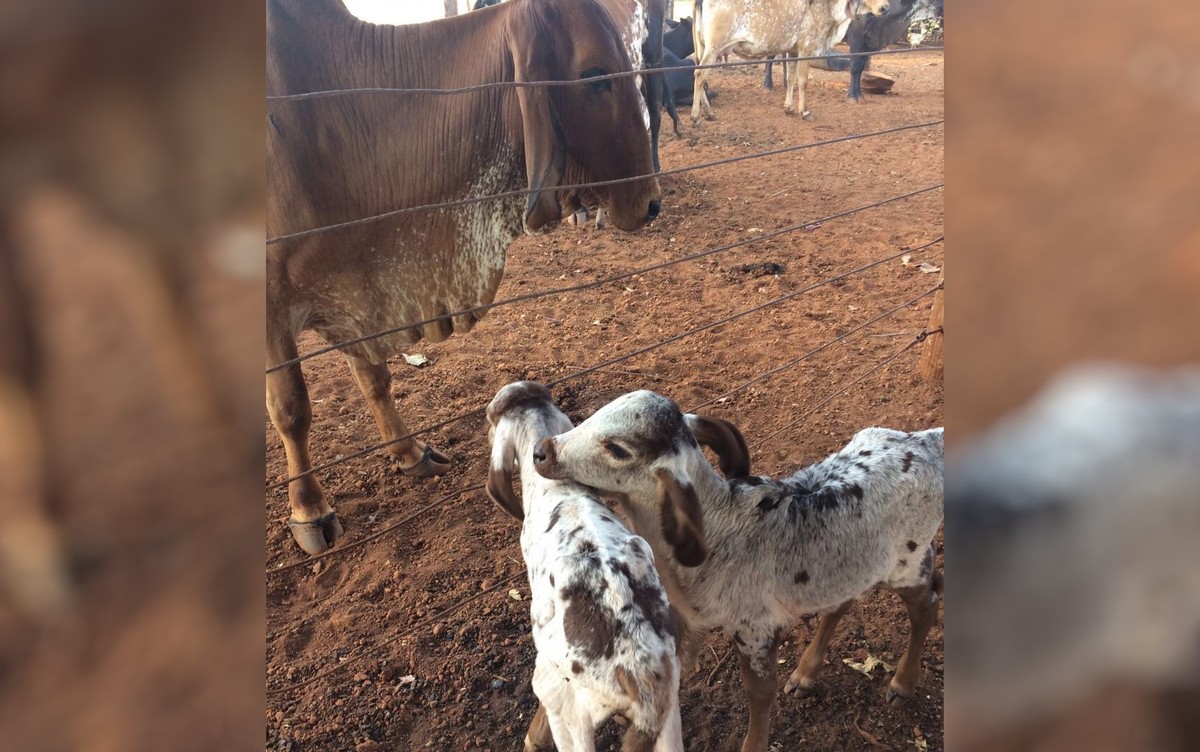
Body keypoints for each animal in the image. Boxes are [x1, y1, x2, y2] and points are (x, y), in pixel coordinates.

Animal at [268, 0, 667, 554]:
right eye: (594, 75)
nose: (652, 203)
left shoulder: (357, 288)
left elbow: (375, 377)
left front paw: (410, 454)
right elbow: (292, 408)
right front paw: (309, 510)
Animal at [532, 388, 936, 752]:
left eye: (617, 449)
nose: (541, 452)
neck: (719, 527)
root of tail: (927, 439)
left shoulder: (755, 626)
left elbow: (759, 692)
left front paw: (754, 743)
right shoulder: (690, 618)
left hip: (909, 561)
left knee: (926, 605)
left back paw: (903, 683)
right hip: (853, 563)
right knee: (841, 602)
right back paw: (806, 674)